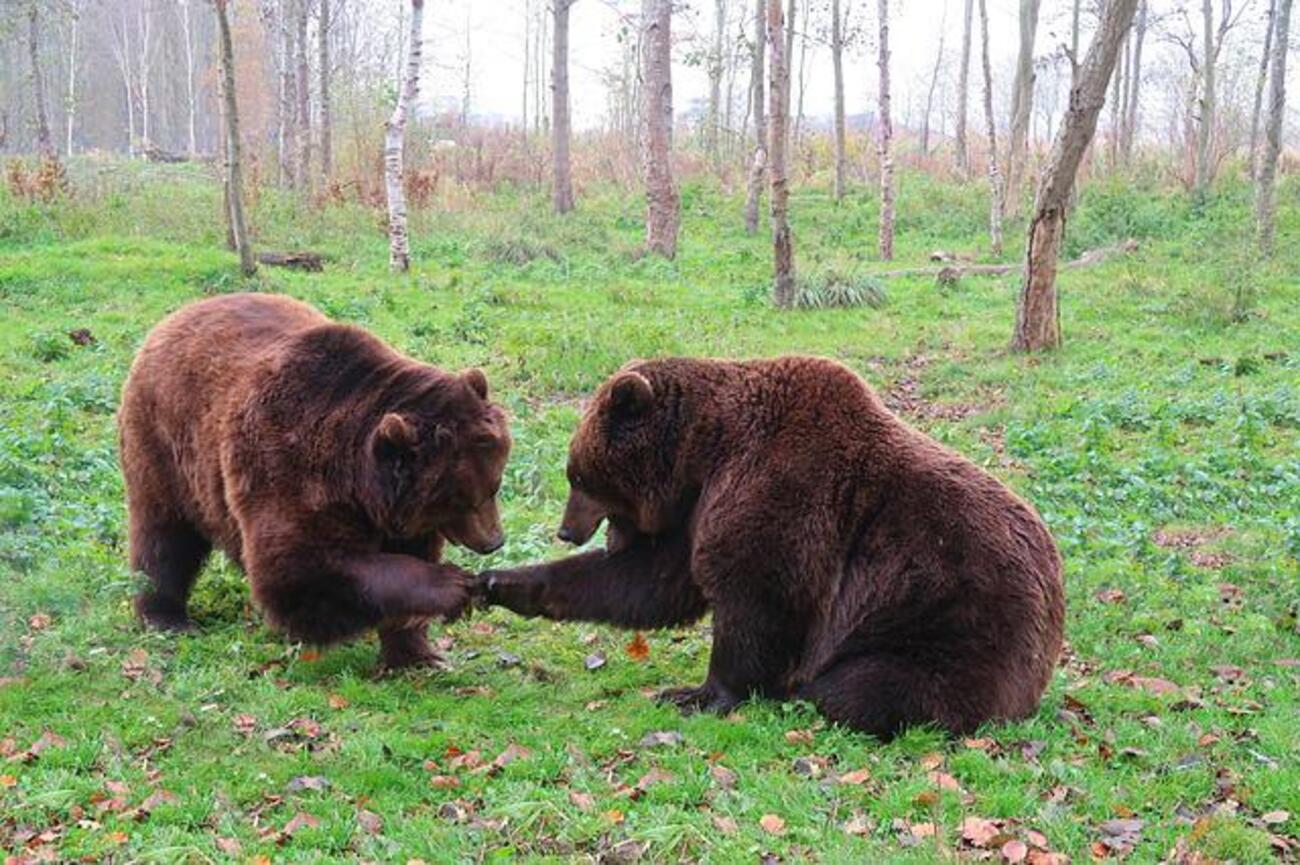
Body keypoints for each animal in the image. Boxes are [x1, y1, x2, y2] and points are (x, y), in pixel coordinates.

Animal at [119, 291, 509, 665]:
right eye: (463, 499)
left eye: (494, 486)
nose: (494, 541)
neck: (359, 482)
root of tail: (174, 317)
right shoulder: (289, 468)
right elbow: (301, 569)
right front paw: (451, 585)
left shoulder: (398, 514)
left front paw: (417, 654)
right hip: (166, 449)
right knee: (165, 537)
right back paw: (166, 616)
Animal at [483, 356, 1060, 733]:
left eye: (578, 476)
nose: (566, 530)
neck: (703, 453)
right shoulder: (698, 512)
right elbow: (650, 582)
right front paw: (503, 582)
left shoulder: (781, 493)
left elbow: (758, 599)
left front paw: (697, 693)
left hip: (947, 622)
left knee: (866, 688)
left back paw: (809, 690)